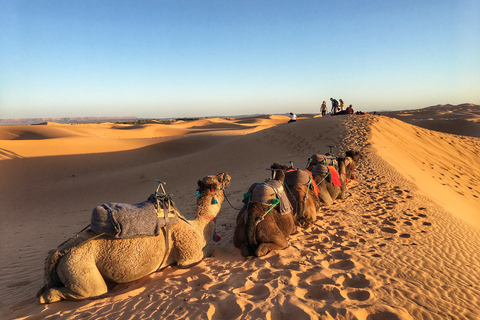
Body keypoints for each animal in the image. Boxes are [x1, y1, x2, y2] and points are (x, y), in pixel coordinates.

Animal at [36, 174, 232, 304]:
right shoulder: (189, 255)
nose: (227, 175)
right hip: (78, 267)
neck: (196, 226)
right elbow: (206, 253)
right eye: (218, 179)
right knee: (89, 291)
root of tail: (60, 252)